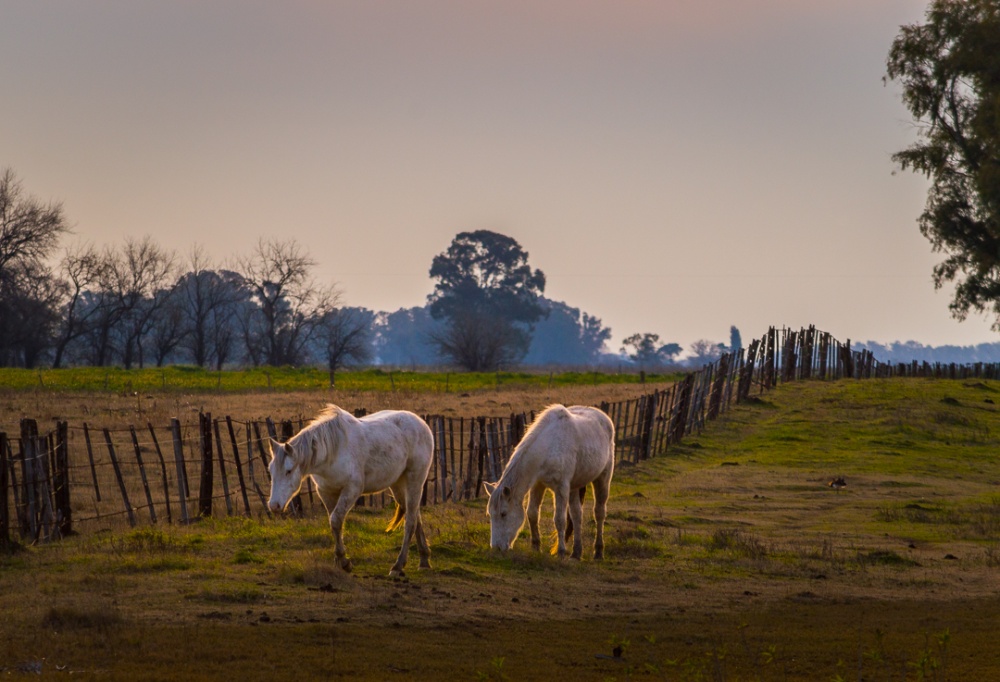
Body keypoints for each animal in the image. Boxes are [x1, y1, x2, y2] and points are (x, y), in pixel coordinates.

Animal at [268, 404, 436, 572]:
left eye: (288, 471)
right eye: (270, 470)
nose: (274, 506)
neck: (333, 452)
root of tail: (421, 423)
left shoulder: (352, 490)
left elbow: (336, 520)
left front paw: (344, 561)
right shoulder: (326, 492)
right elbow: (334, 523)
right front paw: (339, 561)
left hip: (415, 479)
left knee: (410, 521)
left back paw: (398, 565)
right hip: (398, 483)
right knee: (414, 515)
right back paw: (424, 560)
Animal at [486, 404, 616, 556]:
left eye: (503, 514)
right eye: (490, 514)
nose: (496, 548)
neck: (548, 447)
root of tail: (603, 417)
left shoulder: (561, 488)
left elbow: (559, 520)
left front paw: (561, 551)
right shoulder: (538, 485)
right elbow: (532, 513)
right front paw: (536, 547)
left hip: (602, 479)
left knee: (599, 513)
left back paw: (598, 551)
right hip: (574, 487)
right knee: (577, 515)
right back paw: (576, 552)